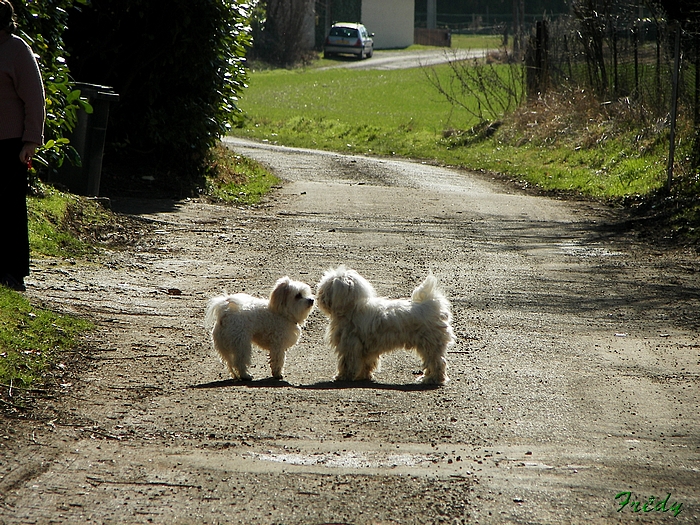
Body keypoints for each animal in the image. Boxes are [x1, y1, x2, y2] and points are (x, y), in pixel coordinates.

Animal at [316, 266, 454, 384]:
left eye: (327, 287)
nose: (319, 295)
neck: (352, 309)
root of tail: (432, 305)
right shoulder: (367, 348)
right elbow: (366, 363)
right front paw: (363, 376)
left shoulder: (350, 345)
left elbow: (348, 363)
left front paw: (343, 376)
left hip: (430, 344)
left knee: (437, 363)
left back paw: (432, 379)